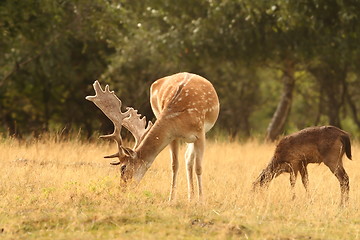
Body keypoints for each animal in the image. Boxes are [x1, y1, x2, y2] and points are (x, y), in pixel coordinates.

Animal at [86, 72, 219, 201]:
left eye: (123, 168)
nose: (122, 189)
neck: (179, 118)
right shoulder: (173, 136)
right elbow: (174, 165)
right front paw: (171, 200)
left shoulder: (200, 133)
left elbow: (199, 168)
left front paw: (201, 201)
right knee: (187, 158)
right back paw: (190, 198)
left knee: (190, 159)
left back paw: (193, 198)